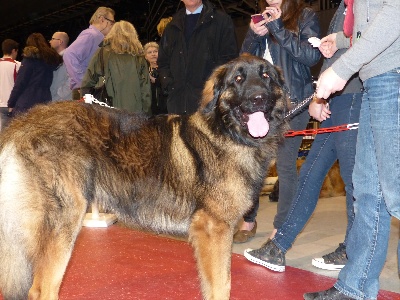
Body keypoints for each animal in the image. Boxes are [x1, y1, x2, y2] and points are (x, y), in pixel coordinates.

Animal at [0, 55, 288, 298]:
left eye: (266, 76)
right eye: (237, 79)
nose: (258, 98)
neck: (227, 133)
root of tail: (23, 123)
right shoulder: (213, 228)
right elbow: (221, 285)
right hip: (65, 219)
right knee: (41, 288)